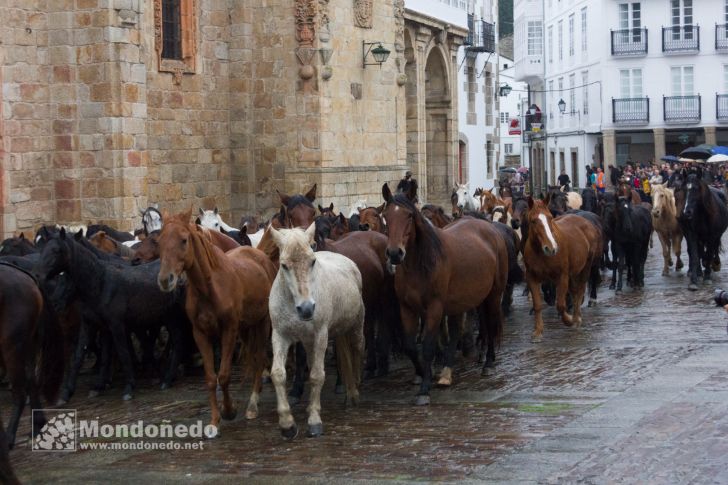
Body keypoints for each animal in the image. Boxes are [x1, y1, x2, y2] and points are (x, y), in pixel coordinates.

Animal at [157, 209, 276, 428]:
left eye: (184, 240)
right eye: (159, 241)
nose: (165, 280)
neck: (209, 288)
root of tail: (261, 256)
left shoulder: (229, 330)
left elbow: (224, 375)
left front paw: (229, 410)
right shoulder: (200, 334)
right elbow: (211, 378)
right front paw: (214, 420)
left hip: (263, 323)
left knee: (260, 356)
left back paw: (253, 404)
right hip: (246, 328)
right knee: (255, 357)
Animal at [268, 223, 364, 438]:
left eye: (312, 262)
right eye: (284, 265)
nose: (306, 309)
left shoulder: (321, 335)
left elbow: (317, 375)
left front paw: (314, 421)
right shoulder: (280, 336)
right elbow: (278, 374)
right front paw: (287, 424)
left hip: (355, 327)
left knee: (357, 351)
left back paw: (355, 391)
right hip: (311, 340)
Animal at [382, 183, 506, 402]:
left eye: (409, 216)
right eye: (386, 216)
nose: (395, 254)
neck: (420, 264)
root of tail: (490, 227)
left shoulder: (434, 308)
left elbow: (428, 345)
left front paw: (424, 389)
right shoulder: (407, 308)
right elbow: (410, 346)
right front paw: (423, 374)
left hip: (492, 294)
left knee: (490, 324)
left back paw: (488, 363)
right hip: (463, 300)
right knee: (457, 330)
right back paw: (447, 372)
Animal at [524, 197, 604, 340]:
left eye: (550, 217)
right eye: (533, 221)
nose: (551, 248)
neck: (540, 253)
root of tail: (587, 222)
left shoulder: (562, 276)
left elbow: (561, 305)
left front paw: (569, 320)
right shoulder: (531, 277)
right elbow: (537, 304)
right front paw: (538, 332)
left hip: (586, 266)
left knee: (580, 289)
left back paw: (577, 317)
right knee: (574, 291)